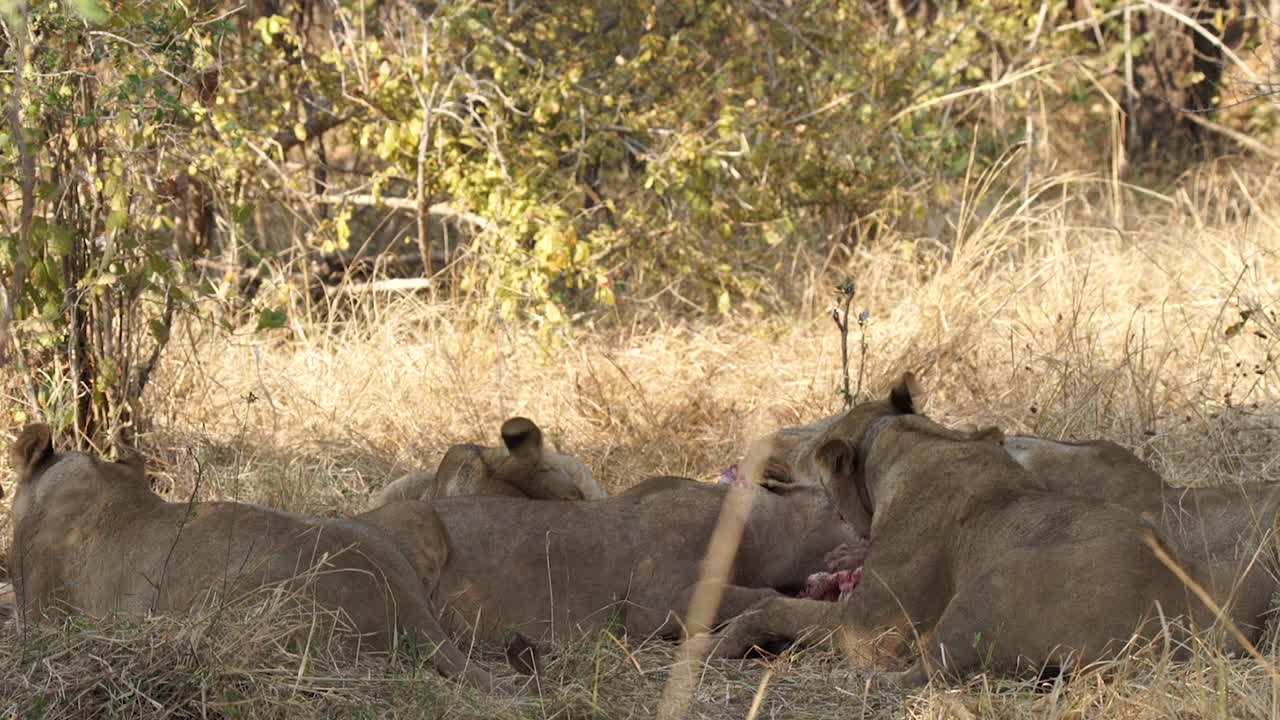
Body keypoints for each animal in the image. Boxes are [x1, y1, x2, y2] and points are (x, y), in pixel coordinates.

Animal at [711, 376, 1218, 681]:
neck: (901, 440)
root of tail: (1187, 616)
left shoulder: (870, 629)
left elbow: (773, 607)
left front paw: (719, 641)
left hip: (986, 588)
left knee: (924, 673)